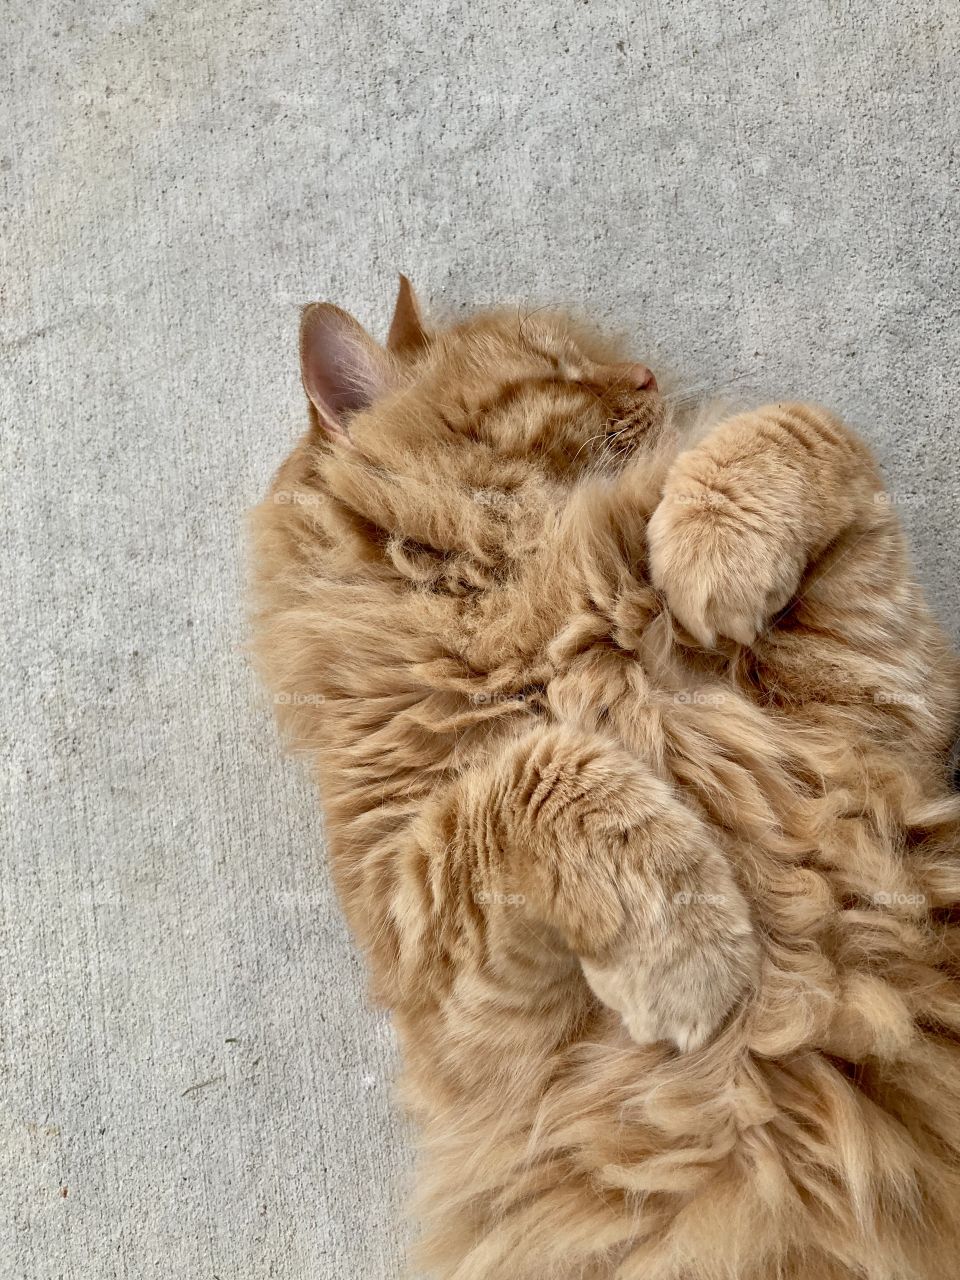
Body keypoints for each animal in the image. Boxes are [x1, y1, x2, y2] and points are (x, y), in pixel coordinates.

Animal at [252, 282, 960, 1280]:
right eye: (555, 368)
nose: (648, 375)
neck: (539, 610)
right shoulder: (440, 961)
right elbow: (544, 777)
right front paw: (696, 956)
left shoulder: (888, 697)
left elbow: (802, 427)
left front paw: (701, 549)